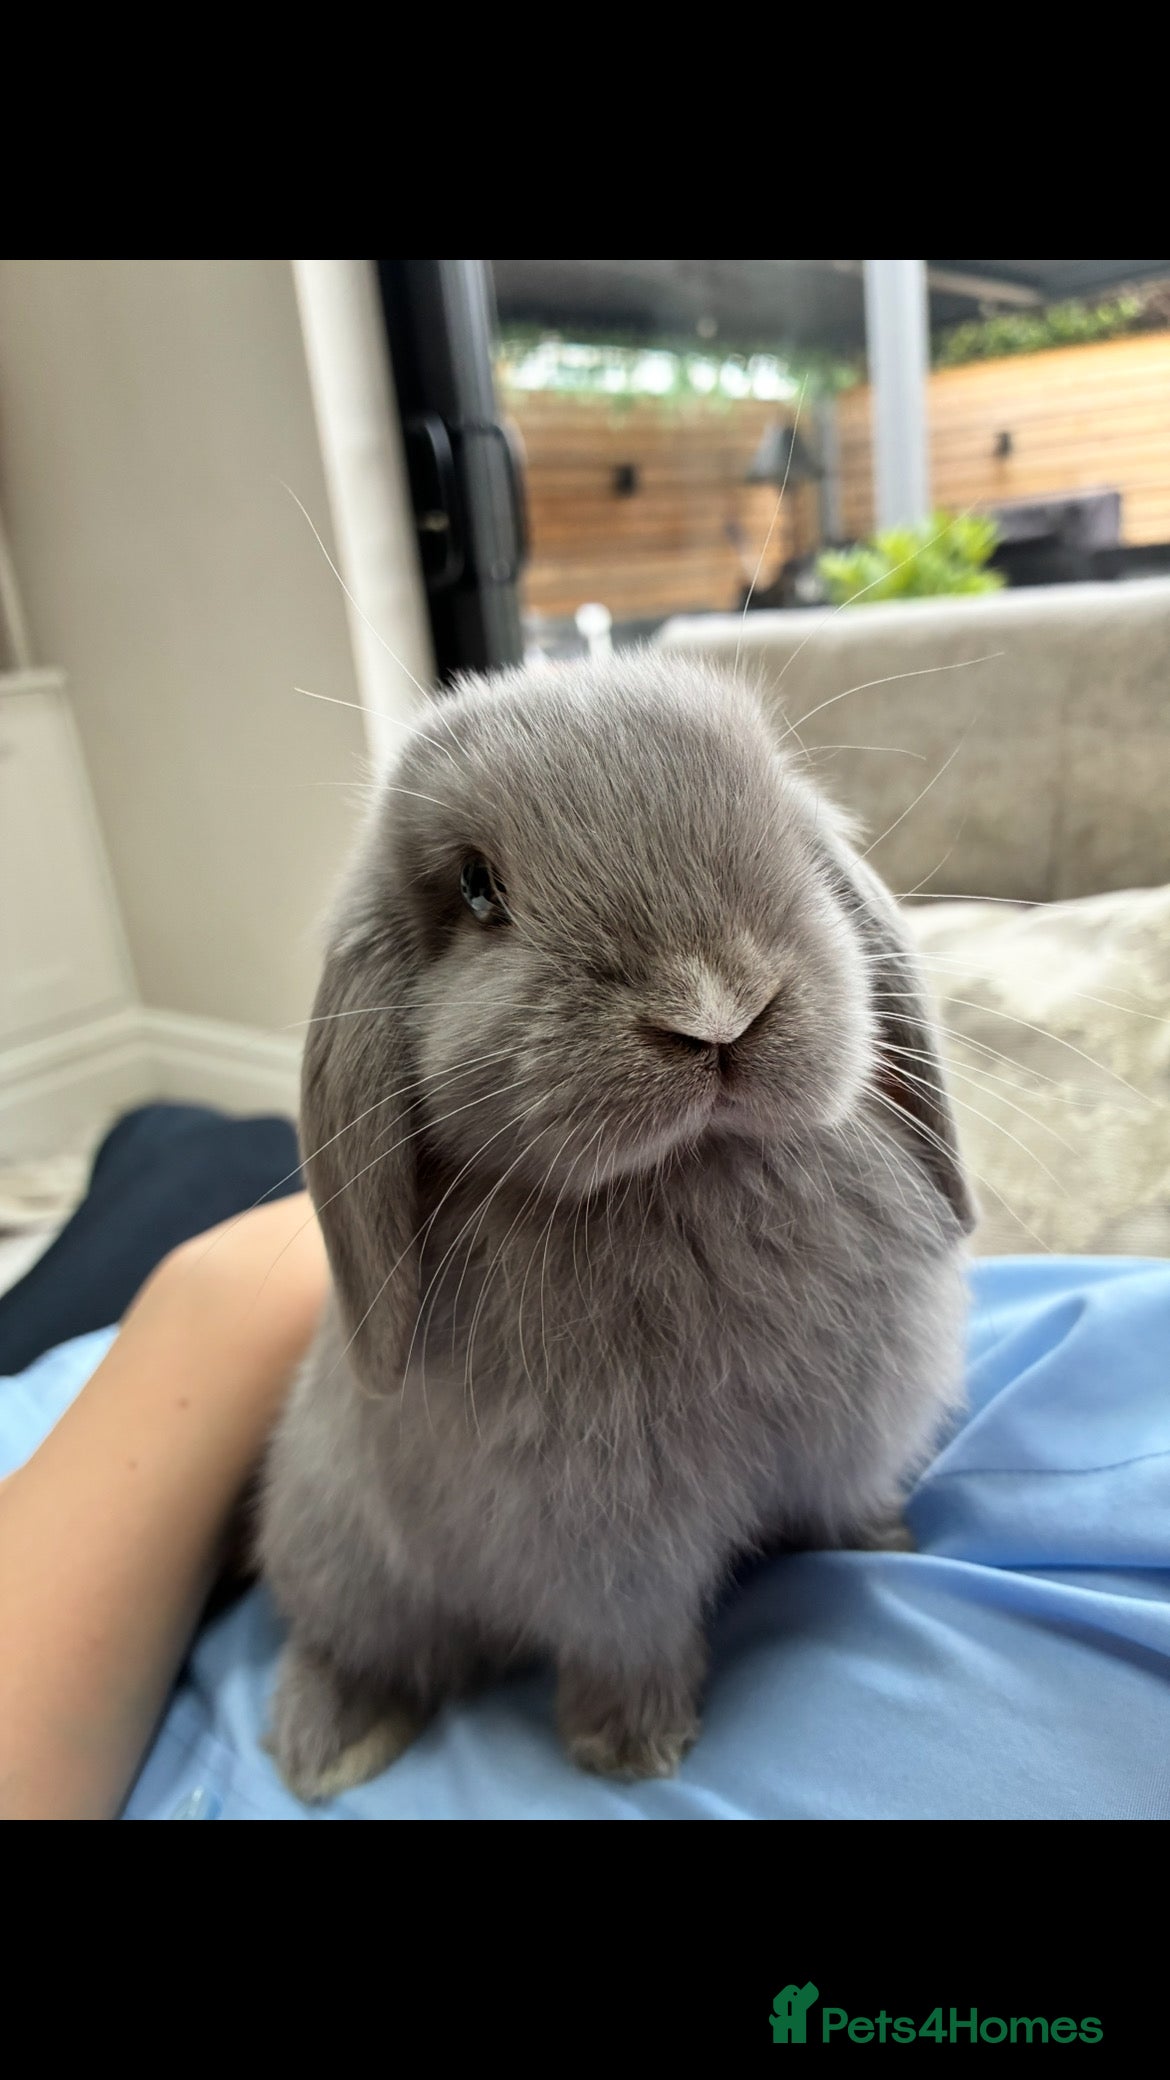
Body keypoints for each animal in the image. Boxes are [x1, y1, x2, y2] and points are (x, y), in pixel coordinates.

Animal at [258, 652, 976, 1800]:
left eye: (782, 824)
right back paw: (331, 1746)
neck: (688, 1175)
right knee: (351, 1644)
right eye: (478, 887)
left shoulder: (853, 1444)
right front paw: (630, 1751)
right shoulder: (603, 1547)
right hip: (345, 1559)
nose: (718, 1007)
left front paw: (891, 1547)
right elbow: (630, 1639)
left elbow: (848, 1505)